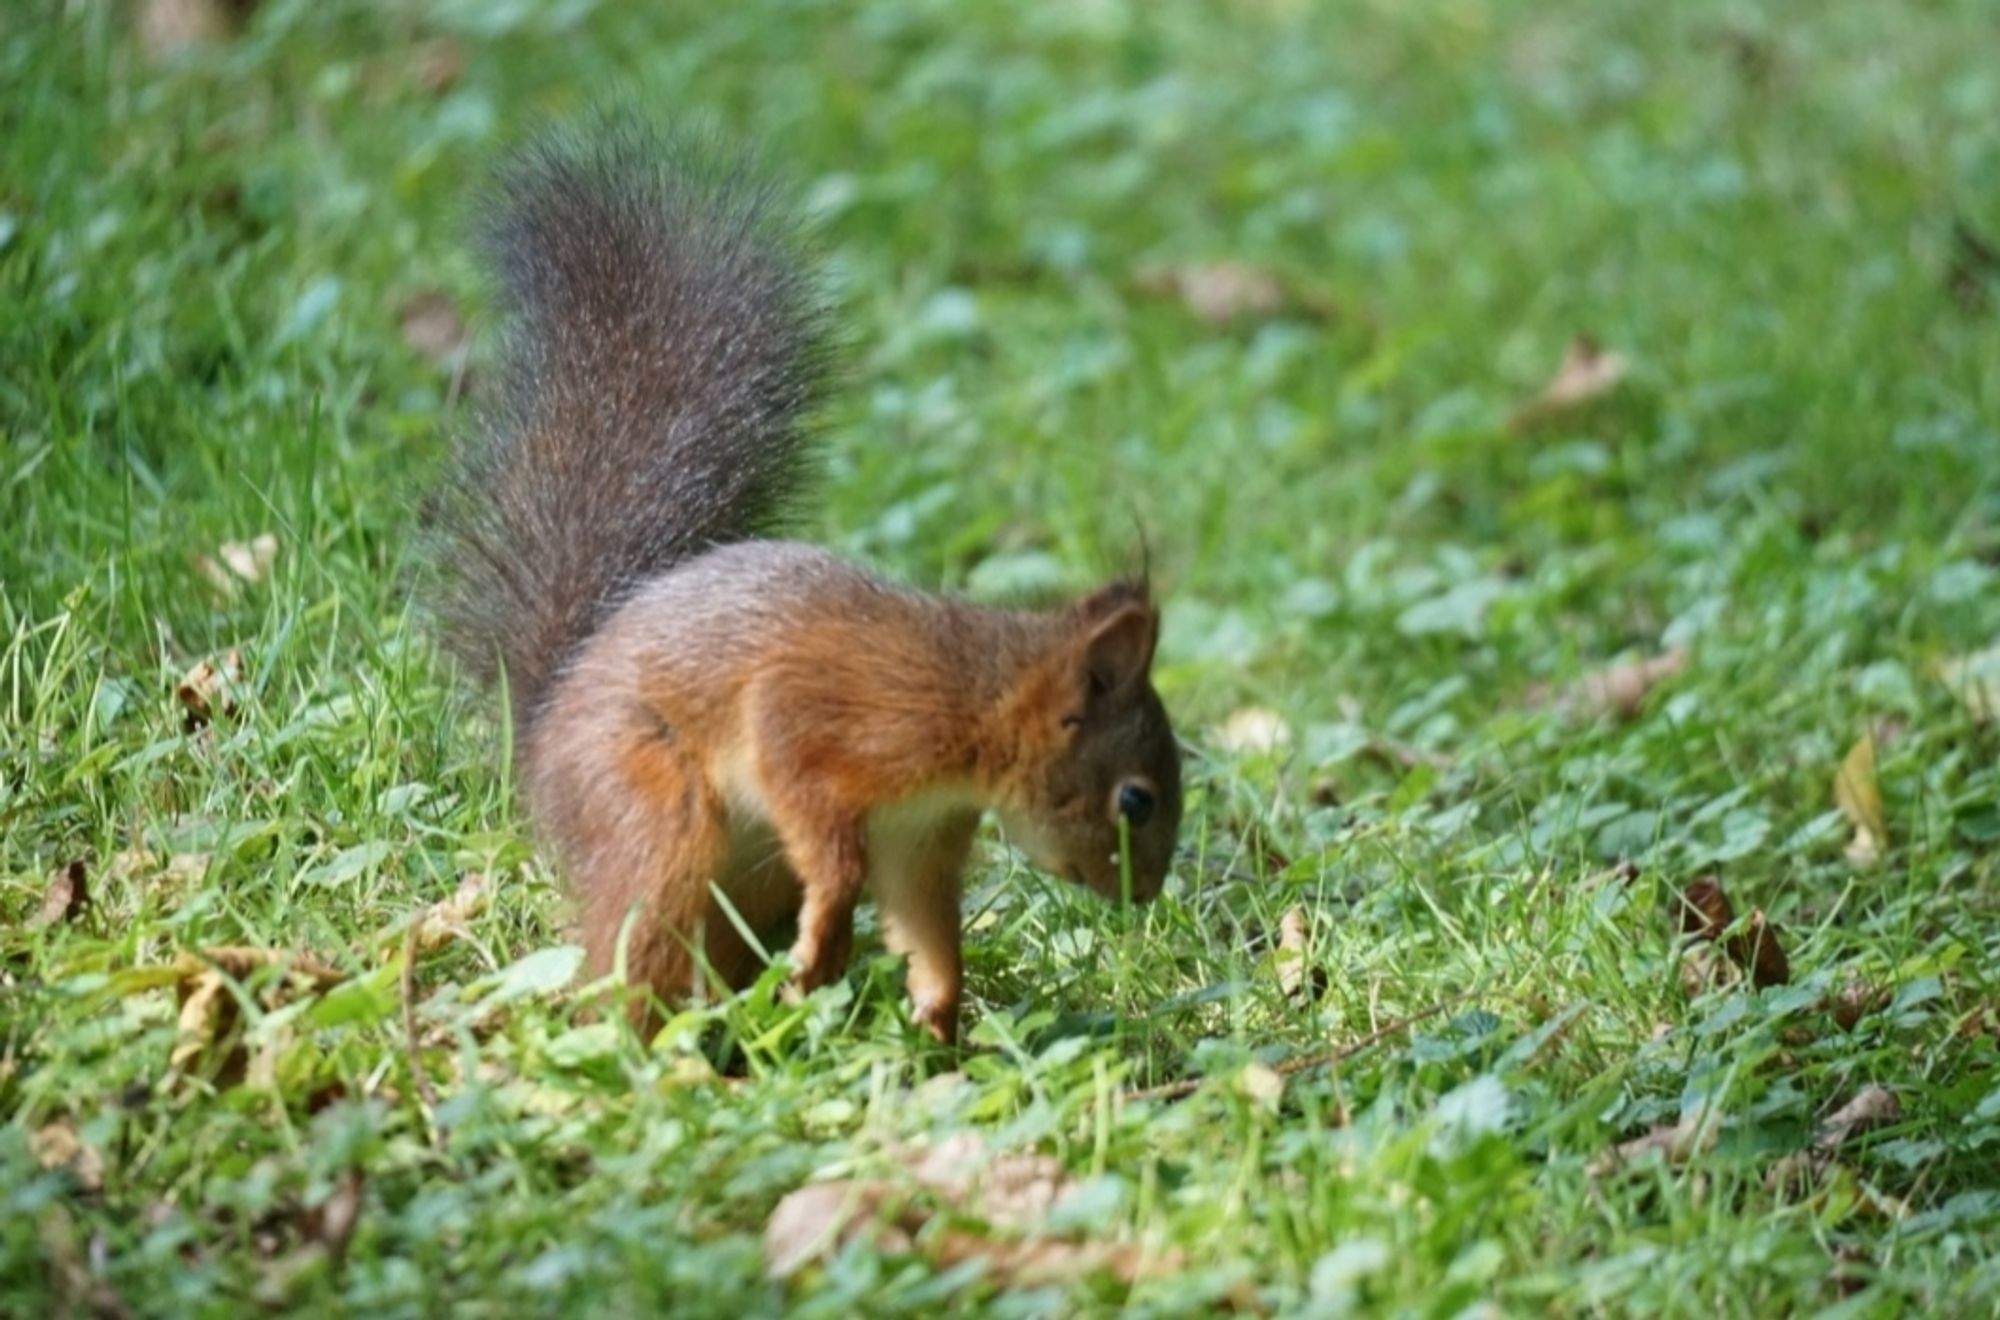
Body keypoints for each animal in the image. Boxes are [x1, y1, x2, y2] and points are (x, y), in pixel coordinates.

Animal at [430, 116, 1176, 1040]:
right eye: (1136, 800)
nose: (1146, 895)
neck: (976, 697)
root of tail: (538, 734)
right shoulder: (827, 720)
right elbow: (821, 820)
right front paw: (830, 936)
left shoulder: (921, 835)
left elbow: (922, 916)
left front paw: (938, 1013)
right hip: (648, 806)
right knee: (632, 939)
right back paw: (652, 1041)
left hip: (749, 880)